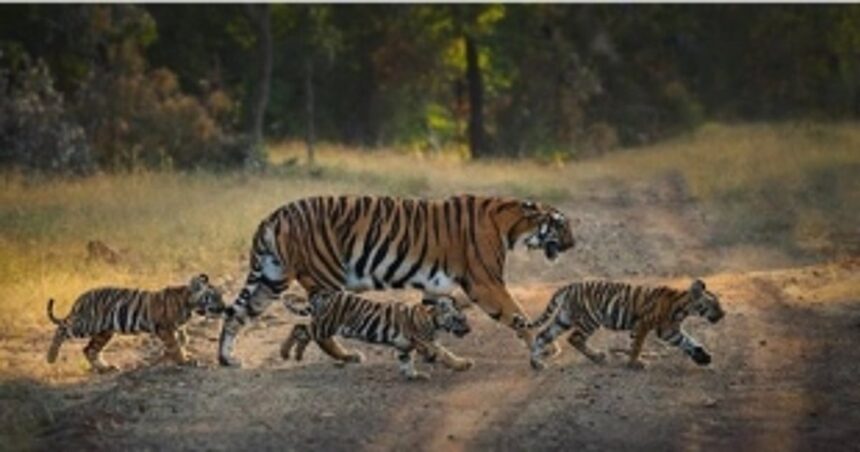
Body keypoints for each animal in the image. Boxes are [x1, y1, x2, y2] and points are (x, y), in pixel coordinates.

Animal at [46, 274, 225, 373]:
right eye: (213, 297)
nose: (225, 307)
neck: (189, 304)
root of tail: (81, 297)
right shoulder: (165, 328)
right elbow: (175, 344)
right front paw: (183, 361)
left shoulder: (177, 328)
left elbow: (183, 340)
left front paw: (173, 356)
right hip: (87, 324)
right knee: (63, 328)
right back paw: (51, 357)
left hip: (104, 332)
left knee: (89, 349)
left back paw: (105, 368)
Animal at [218, 194, 575, 368]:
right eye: (560, 224)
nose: (573, 244)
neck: (511, 225)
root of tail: (272, 216)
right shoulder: (485, 283)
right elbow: (517, 314)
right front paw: (548, 346)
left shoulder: (436, 285)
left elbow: (430, 322)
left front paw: (430, 355)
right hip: (325, 278)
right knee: (319, 328)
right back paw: (347, 356)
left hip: (271, 279)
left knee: (236, 316)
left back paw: (227, 359)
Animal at [280, 290, 472, 380]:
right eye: (459, 319)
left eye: (464, 318)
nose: (469, 330)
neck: (433, 319)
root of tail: (324, 296)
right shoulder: (423, 342)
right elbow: (445, 353)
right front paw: (463, 364)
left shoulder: (403, 346)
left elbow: (406, 361)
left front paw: (414, 376)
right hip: (326, 325)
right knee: (299, 328)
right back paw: (284, 352)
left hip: (322, 326)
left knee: (304, 333)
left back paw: (297, 355)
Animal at [513, 279, 724, 370]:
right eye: (714, 305)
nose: (723, 314)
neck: (683, 307)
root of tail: (568, 287)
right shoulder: (644, 324)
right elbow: (637, 345)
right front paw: (635, 363)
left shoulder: (669, 330)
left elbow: (688, 342)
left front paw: (703, 358)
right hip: (590, 319)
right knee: (574, 338)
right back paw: (598, 357)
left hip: (563, 319)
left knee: (542, 335)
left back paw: (536, 364)